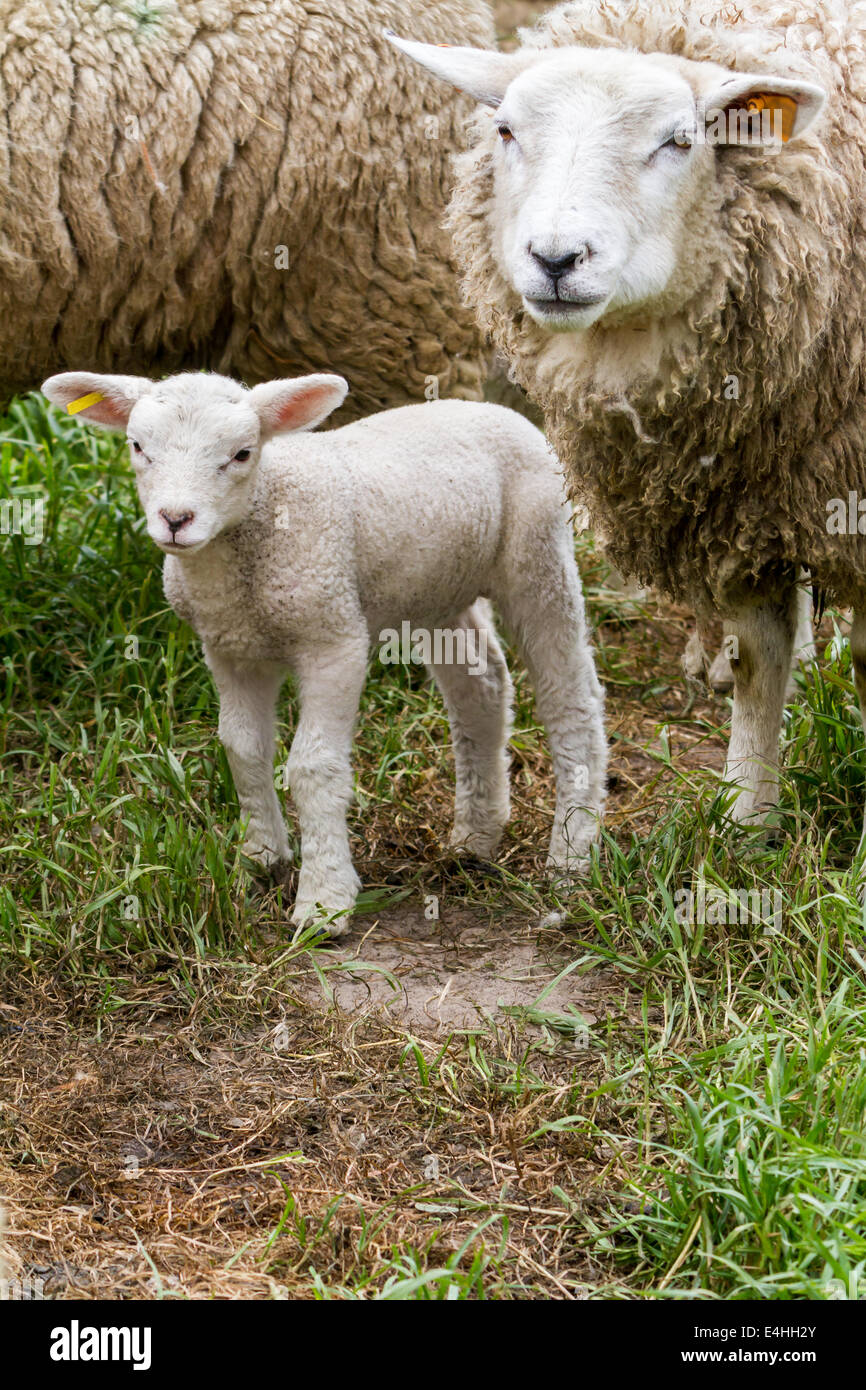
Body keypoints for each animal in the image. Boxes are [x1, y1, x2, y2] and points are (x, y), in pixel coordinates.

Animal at [42, 369, 608, 934]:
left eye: (242, 453)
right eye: (138, 446)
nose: (176, 519)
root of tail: (494, 409)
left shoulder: (333, 640)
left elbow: (313, 767)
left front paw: (323, 902)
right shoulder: (229, 648)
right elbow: (242, 749)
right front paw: (262, 863)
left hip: (538, 556)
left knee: (571, 701)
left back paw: (571, 857)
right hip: (439, 590)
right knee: (482, 688)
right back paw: (475, 839)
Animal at [389, 0, 866, 845]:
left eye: (678, 141)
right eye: (506, 130)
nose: (555, 258)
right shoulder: (741, 501)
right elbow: (759, 656)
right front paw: (747, 817)